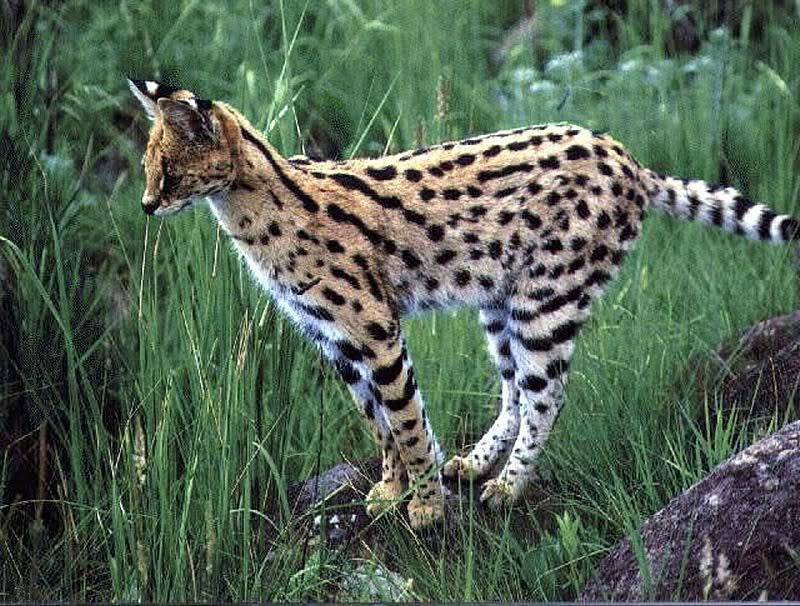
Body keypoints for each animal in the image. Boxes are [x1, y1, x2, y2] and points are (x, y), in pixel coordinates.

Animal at [128, 82, 796, 532]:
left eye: (169, 172)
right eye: (148, 168)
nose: (145, 206)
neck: (257, 207)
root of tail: (629, 159)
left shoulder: (375, 331)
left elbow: (406, 420)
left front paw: (424, 505)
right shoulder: (336, 342)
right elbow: (378, 424)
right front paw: (391, 489)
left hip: (546, 300)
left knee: (548, 395)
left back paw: (508, 486)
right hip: (501, 301)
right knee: (514, 390)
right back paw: (476, 463)